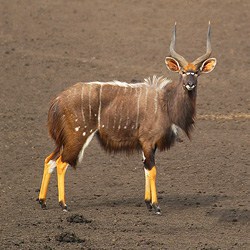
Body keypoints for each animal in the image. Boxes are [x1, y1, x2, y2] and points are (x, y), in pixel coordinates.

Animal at [38, 23, 216, 215]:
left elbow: (146, 169)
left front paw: (147, 203)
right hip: (77, 136)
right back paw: (63, 204)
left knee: (49, 159)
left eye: (197, 72)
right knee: (61, 163)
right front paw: (156, 206)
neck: (165, 103)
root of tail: (57, 100)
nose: (190, 84)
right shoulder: (147, 141)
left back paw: (42, 201)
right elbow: (153, 170)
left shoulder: (148, 145)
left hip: (63, 140)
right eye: (183, 72)